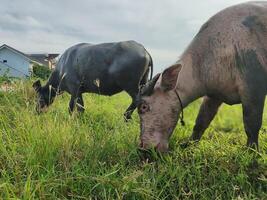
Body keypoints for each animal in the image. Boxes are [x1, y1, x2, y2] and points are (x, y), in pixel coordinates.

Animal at [138, 1, 267, 152]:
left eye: (143, 107)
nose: (142, 148)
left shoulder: (253, 87)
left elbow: (251, 123)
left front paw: (251, 151)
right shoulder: (214, 95)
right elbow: (201, 120)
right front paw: (188, 144)